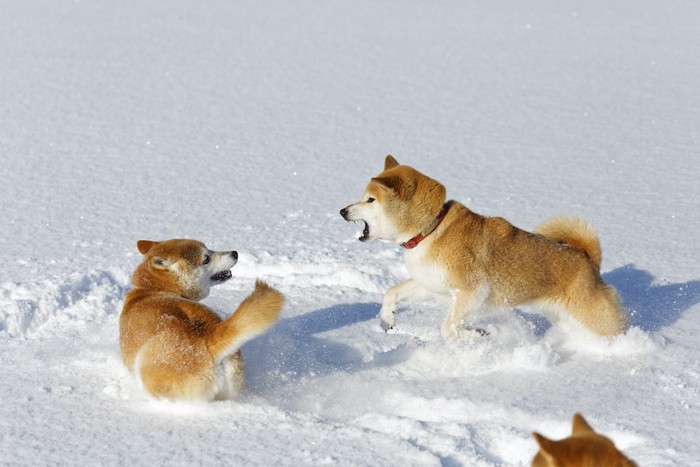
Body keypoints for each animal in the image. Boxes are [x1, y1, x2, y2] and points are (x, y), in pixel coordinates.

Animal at [340, 156, 628, 340]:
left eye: (370, 199)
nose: (343, 211)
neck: (431, 229)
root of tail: (589, 261)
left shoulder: (473, 290)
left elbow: (449, 326)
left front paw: (477, 335)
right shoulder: (432, 285)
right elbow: (392, 293)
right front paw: (387, 319)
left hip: (596, 320)